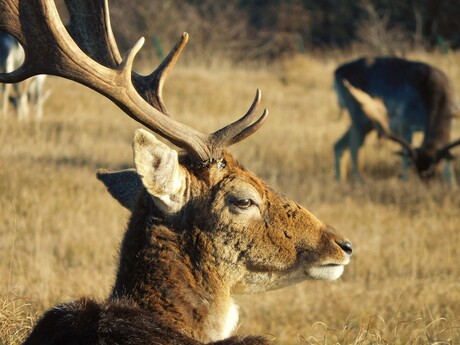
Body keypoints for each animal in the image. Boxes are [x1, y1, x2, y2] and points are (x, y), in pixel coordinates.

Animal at [332, 55, 458, 183]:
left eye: (435, 166)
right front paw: (404, 181)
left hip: (367, 122)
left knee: (339, 145)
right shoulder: (404, 124)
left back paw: (340, 180)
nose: (426, 181)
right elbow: (405, 156)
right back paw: (360, 182)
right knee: (354, 148)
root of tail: (336, 72)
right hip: (358, 115)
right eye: (416, 167)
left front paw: (451, 184)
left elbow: (448, 160)